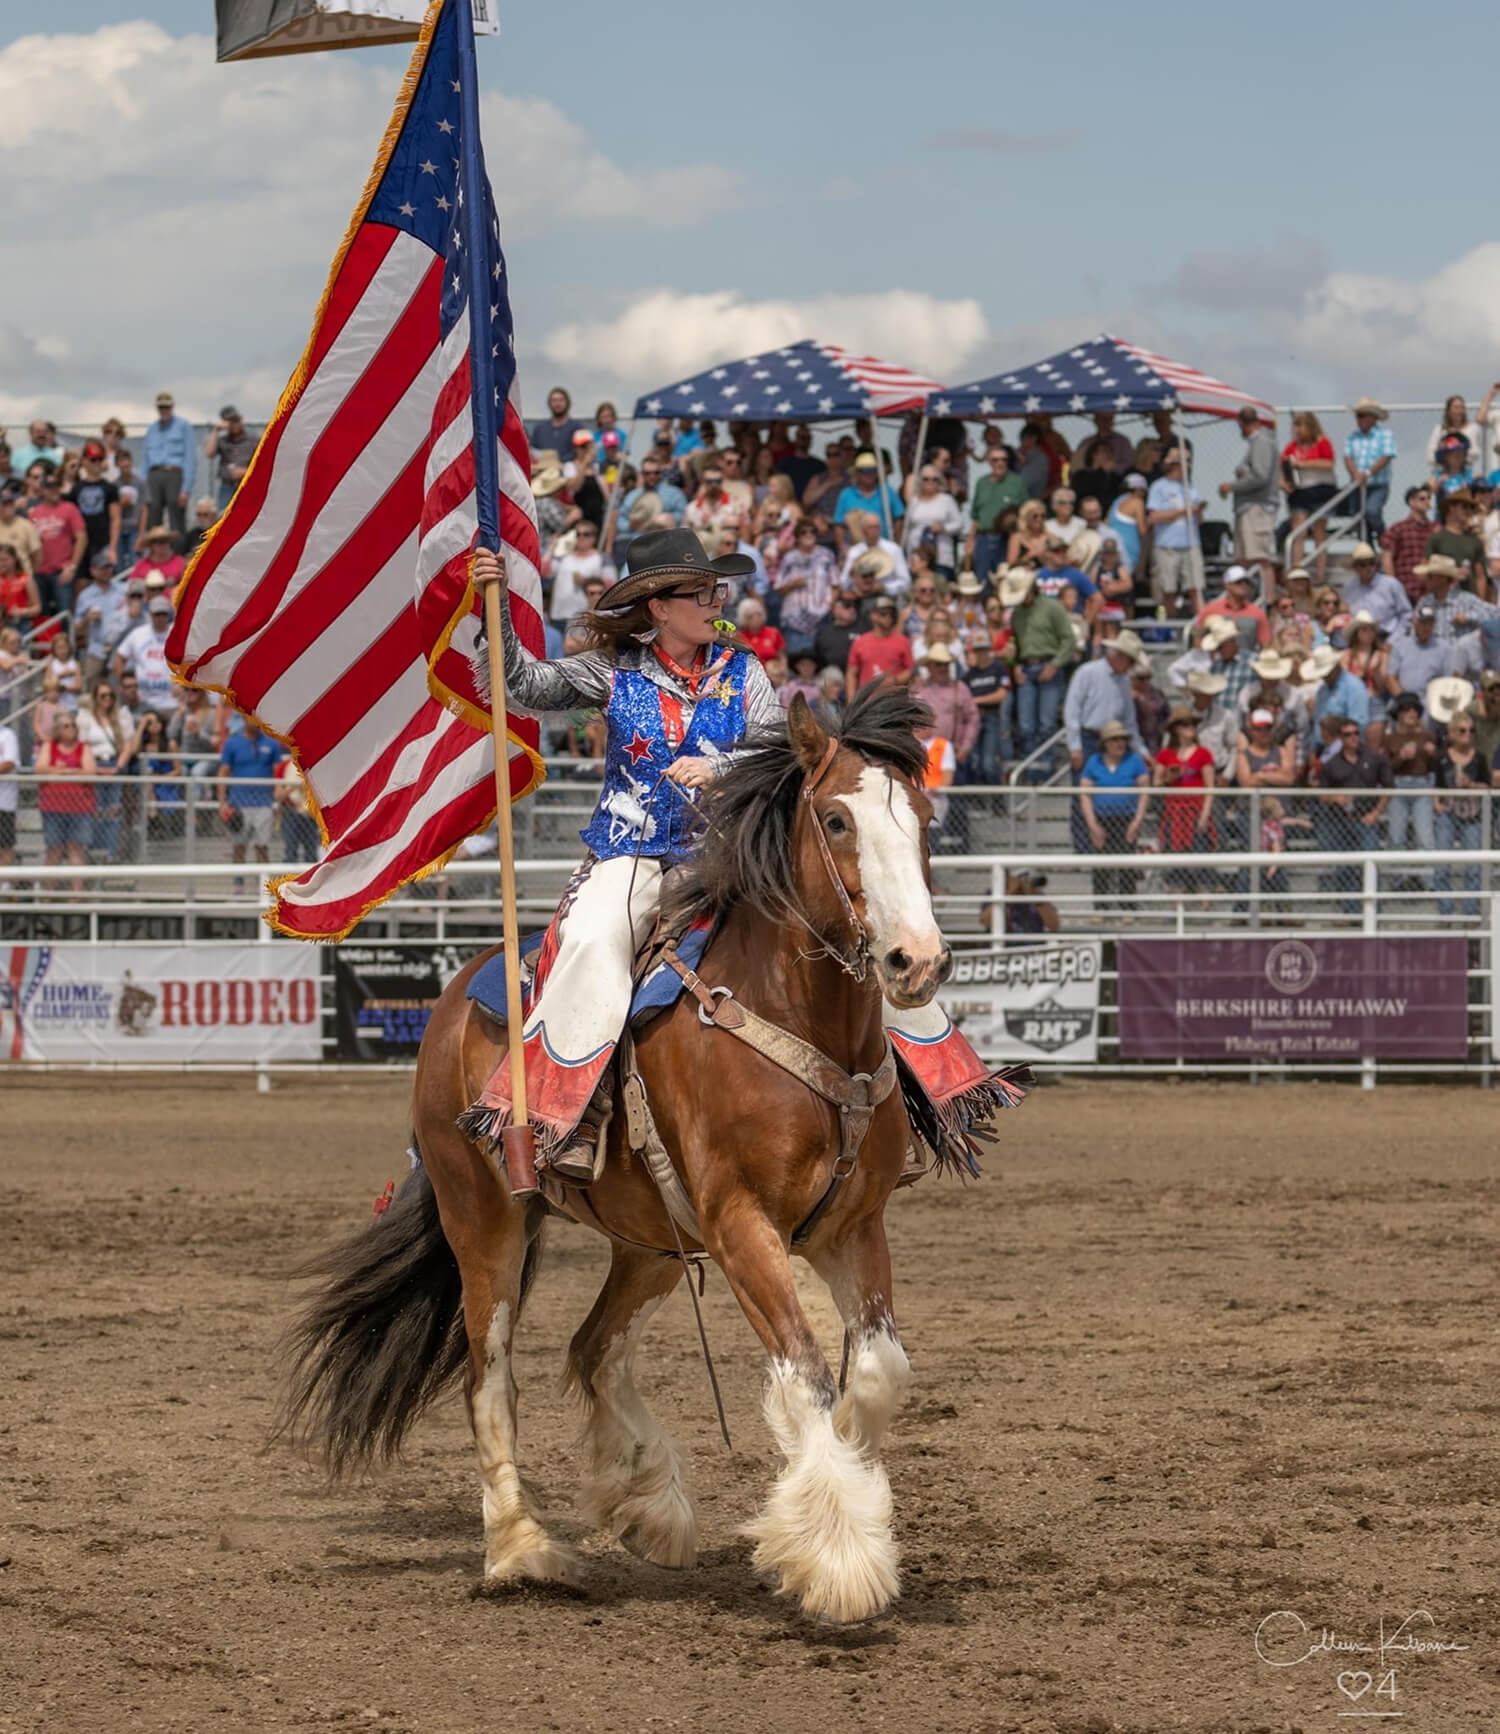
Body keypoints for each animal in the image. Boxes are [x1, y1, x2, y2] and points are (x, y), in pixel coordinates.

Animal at [279, 683, 961, 1625]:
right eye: (835, 819)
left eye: (925, 820)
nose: (916, 961)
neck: (791, 1013)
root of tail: (453, 1001)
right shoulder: (741, 1222)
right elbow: (805, 1374)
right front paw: (836, 1558)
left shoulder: (851, 1226)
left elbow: (876, 1372)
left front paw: (849, 1485)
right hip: (485, 1222)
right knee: (491, 1381)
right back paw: (523, 1550)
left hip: (652, 1244)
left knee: (592, 1348)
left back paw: (648, 1505)